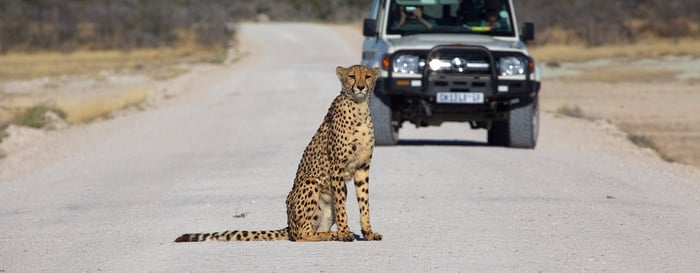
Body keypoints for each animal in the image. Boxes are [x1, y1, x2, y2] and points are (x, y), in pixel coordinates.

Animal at [175, 65, 382, 241]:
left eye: (367, 76)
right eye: (352, 76)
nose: (361, 87)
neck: (359, 107)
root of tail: (289, 224)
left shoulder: (362, 168)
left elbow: (364, 202)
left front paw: (368, 232)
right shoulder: (336, 168)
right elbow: (341, 207)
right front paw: (345, 233)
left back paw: (329, 234)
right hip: (310, 183)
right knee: (301, 235)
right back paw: (330, 235)